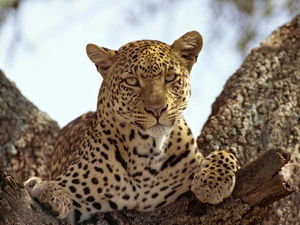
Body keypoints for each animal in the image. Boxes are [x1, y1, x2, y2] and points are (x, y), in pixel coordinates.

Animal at [24, 30, 239, 224]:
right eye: (132, 81)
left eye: (170, 77)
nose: (157, 109)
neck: (148, 151)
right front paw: (48, 190)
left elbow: (225, 153)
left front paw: (211, 183)